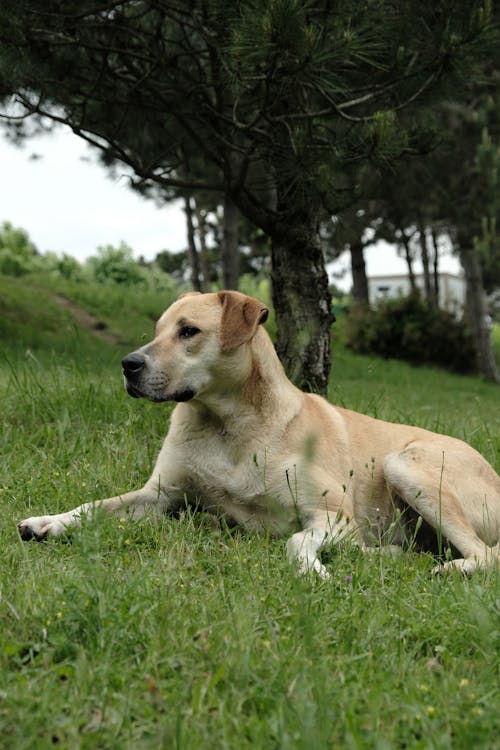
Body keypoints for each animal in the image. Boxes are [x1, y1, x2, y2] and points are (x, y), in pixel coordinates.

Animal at [16, 290, 500, 580]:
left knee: (485, 555)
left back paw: (446, 569)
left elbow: (295, 539)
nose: (128, 365)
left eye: (189, 331)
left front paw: (312, 570)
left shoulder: (332, 516)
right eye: (157, 332)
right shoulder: (160, 496)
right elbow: (94, 505)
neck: (227, 426)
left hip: (403, 464)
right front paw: (49, 521)